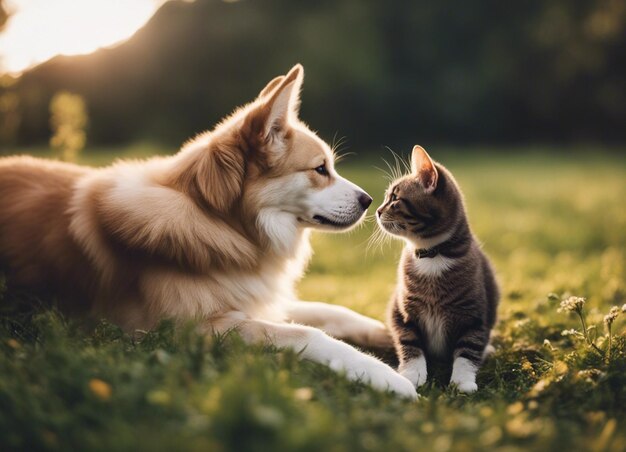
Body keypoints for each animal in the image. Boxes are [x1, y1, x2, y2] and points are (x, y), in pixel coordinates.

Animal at [1, 65, 420, 398]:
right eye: (320, 169)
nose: (370, 201)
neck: (219, 222)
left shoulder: (249, 296)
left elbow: (334, 312)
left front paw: (397, 339)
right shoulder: (184, 329)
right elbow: (307, 334)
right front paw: (384, 376)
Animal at [376, 146, 498, 392]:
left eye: (395, 198)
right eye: (387, 196)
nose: (377, 210)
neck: (432, 254)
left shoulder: (475, 316)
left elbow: (468, 351)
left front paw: (463, 381)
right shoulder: (403, 313)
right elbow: (410, 344)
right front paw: (412, 374)